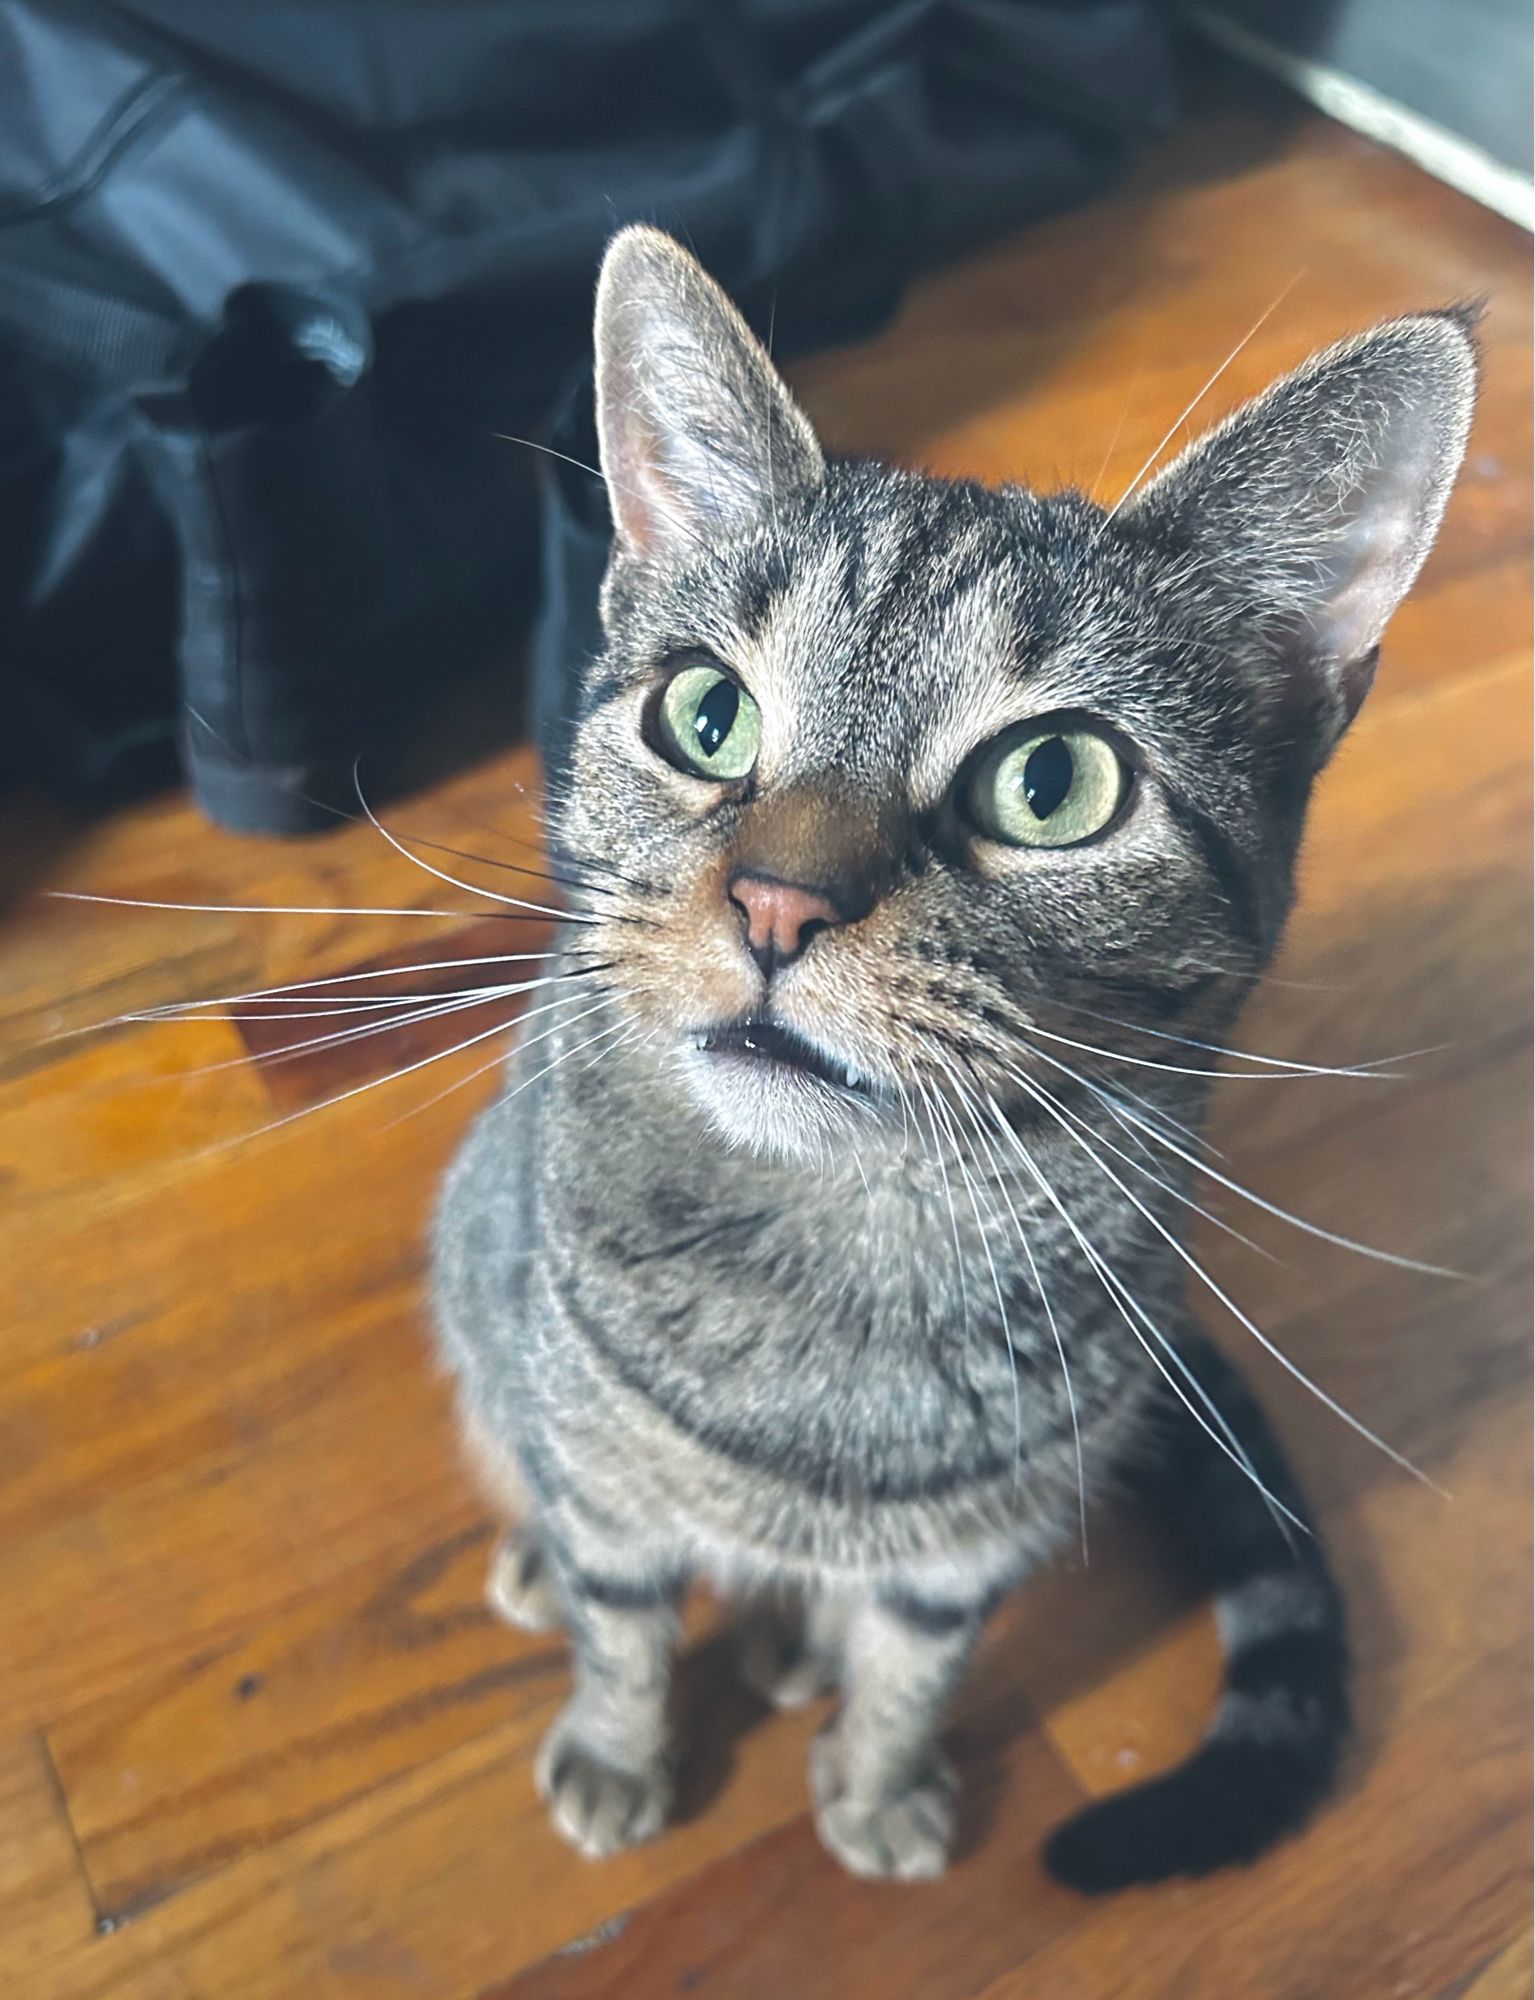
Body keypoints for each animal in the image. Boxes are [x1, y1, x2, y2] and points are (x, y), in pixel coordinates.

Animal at [431, 227, 1471, 1880]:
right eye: (705, 715)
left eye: (1052, 783)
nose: (776, 902)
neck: (845, 1249)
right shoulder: (603, 1459)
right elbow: (622, 1624)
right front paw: (615, 1748)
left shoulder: (976, 1541)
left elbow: (916, 1665)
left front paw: (873, 1785)